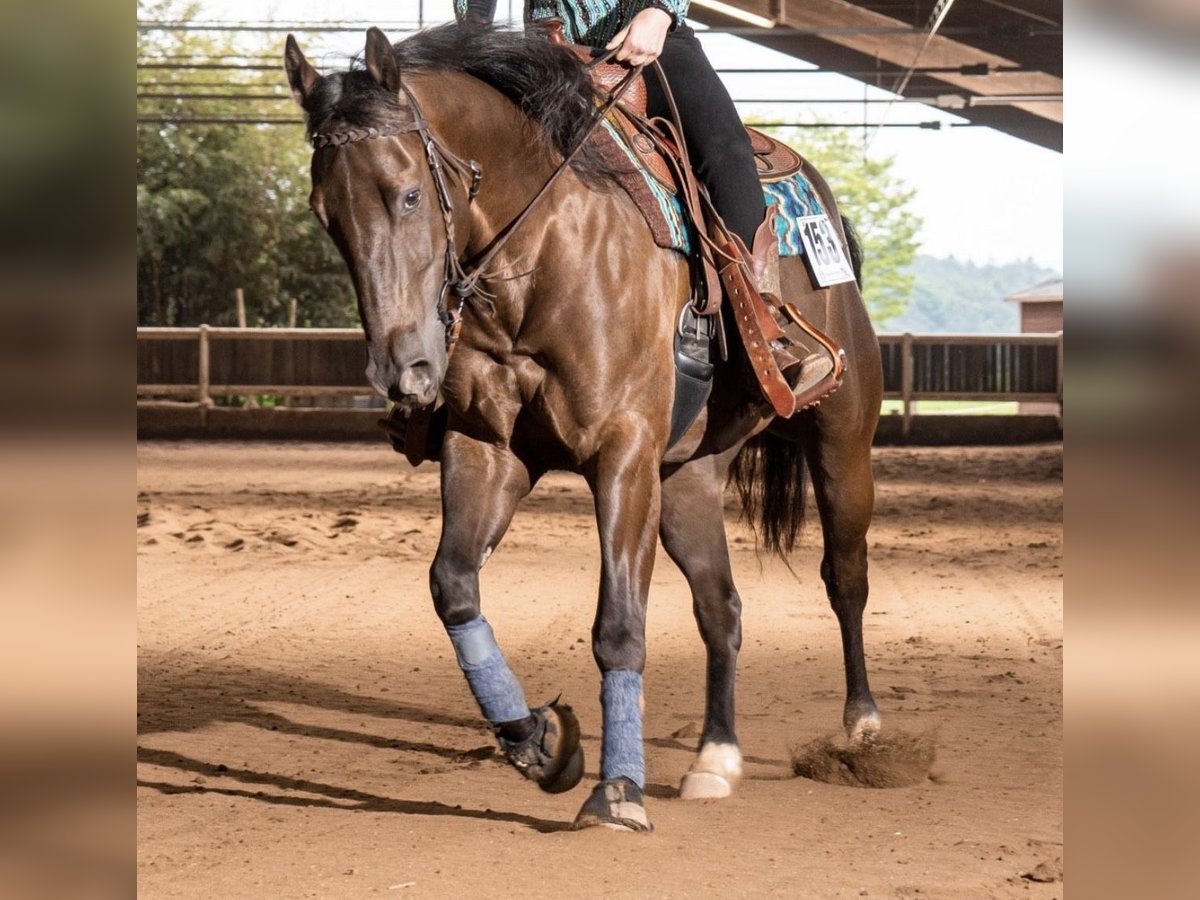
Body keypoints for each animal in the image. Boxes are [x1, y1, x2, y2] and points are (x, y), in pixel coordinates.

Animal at [280, 22, 883, 840]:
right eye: (324, 212)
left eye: (407, 194)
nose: (406, 371)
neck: (543, 253)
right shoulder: (488, 451)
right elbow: (453, 587)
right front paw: (539, 742)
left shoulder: (622, 452)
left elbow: (619, 625)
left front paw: (618, 791)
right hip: (685, 479)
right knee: (721, 607)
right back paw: (715, 757)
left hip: (842, 443)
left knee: (844, 578)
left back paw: (863, 727)